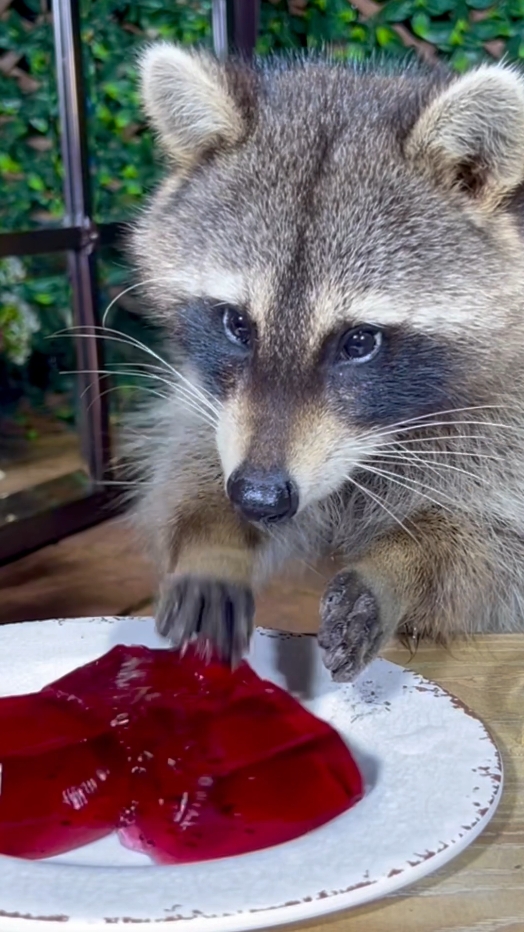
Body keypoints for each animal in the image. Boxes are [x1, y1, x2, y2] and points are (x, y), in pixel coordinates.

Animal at [126, 43, 524, 680]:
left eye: (359, 342)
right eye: (237, 324)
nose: (259, 497)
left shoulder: (506, 421)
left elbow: (496, 549)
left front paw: (400, 563)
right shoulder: (214, 399)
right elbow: (194, 447)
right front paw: (212, 536)